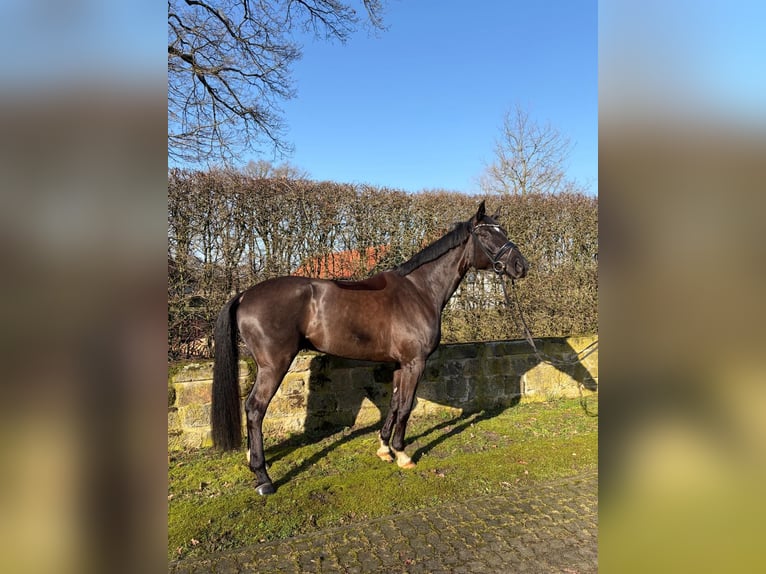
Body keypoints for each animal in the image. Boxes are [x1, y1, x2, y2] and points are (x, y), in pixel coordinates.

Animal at [211, 201, 529, 495]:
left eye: (503, 231)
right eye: (486, 234)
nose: (521, 266)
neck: (419, 291)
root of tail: (244, 294)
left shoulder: (401, 364)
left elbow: (395, 403)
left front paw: (385, 449)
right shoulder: (415, 363)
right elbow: (406, 407)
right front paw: (403, 454)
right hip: (274, 366)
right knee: (255, 409)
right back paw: (263, 477)